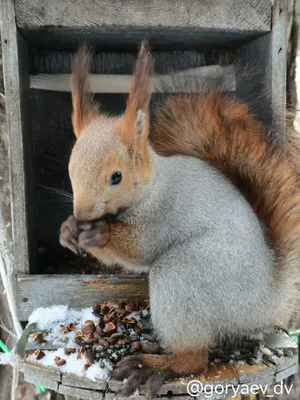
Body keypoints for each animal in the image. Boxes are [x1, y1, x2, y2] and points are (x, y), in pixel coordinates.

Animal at [59, 42, 300, 398]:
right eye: (70, 169)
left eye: (116, 176)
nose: (83, 215)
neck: (153, 186)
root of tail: (267, 303)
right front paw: (68, 230)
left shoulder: (164, 215)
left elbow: (139, 250)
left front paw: (98, 234)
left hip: (187, 274)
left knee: (195, 359)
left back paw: (155, 366)